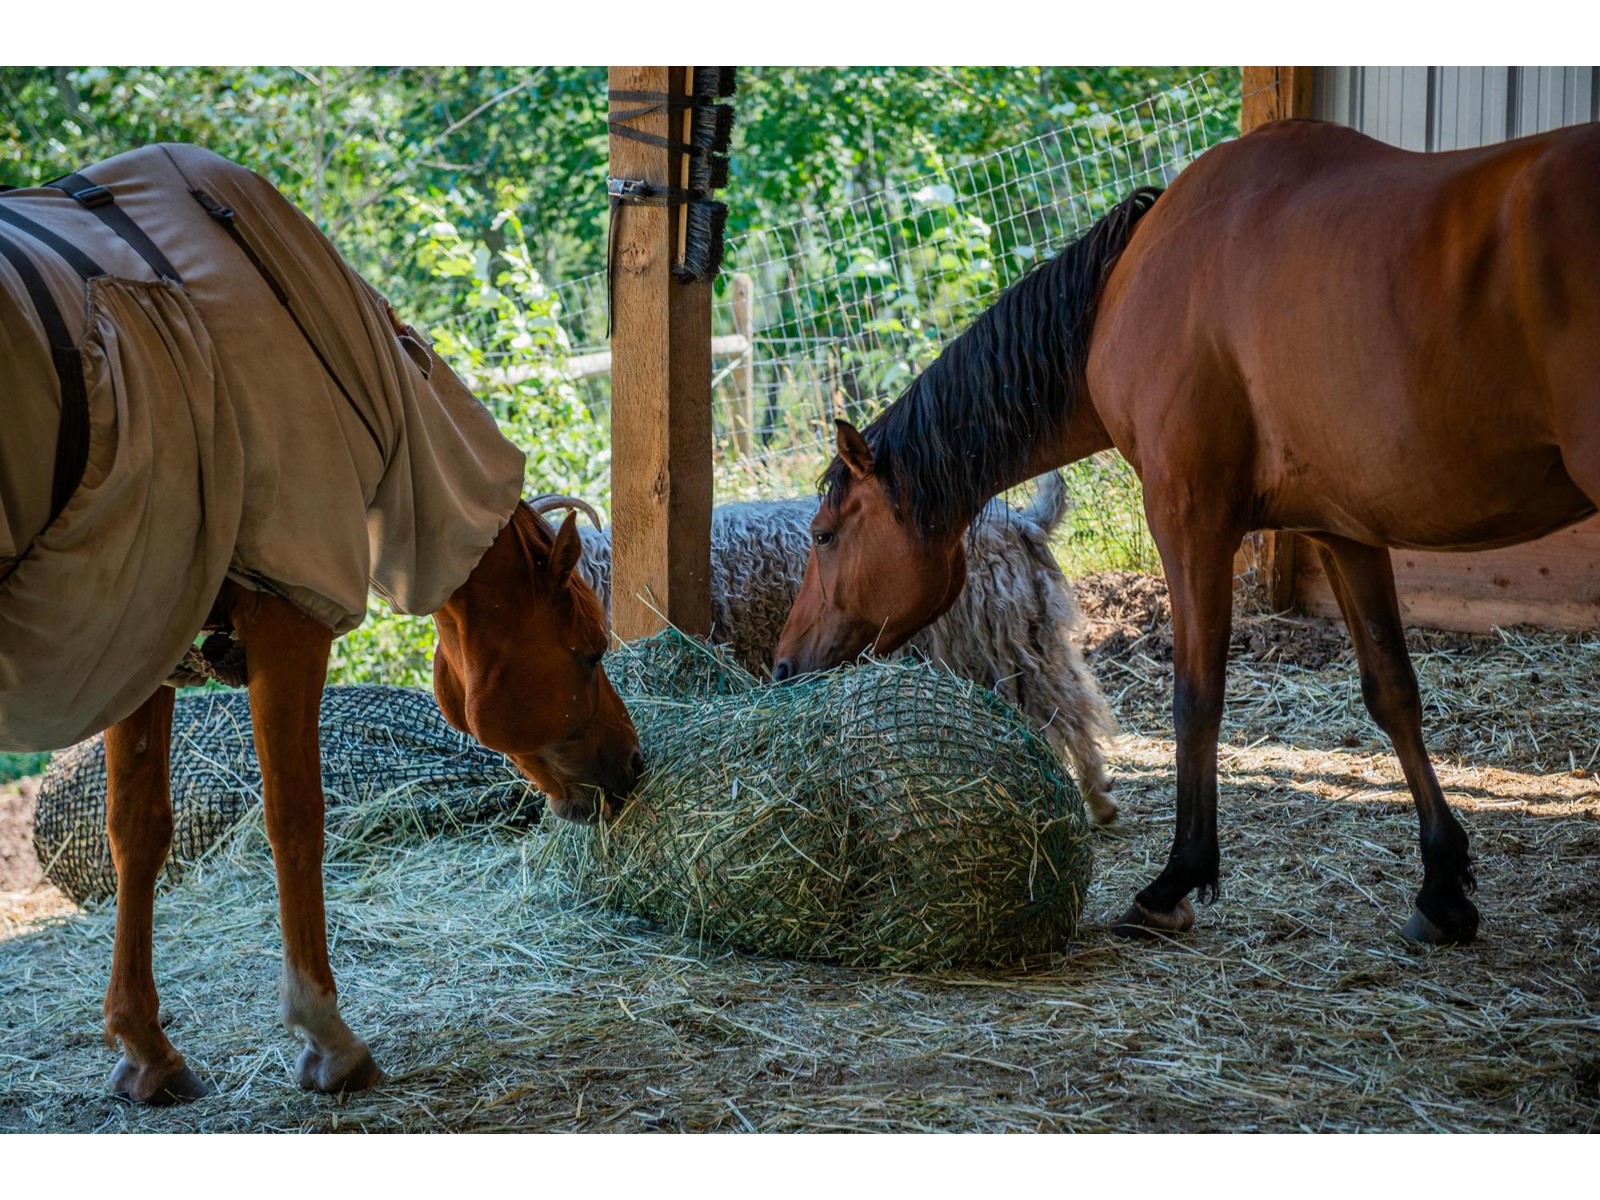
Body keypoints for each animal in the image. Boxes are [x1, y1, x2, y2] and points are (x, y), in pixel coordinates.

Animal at [6, 148, 643, 1107]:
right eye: (590, 651)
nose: (636, 767)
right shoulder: (288, 622)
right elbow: (296, 820)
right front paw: (327, 1035)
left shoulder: (142, 636)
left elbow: (137, 832)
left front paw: (146, 1048)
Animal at [771, 120, 1600, 947]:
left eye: (823, 535)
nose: (781, 665)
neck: (1127, 285)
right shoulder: (1342, 529)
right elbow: (1392, 691)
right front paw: (1442, 886)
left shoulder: (1187, 515)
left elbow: (1195, 696)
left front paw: (1174, 880)